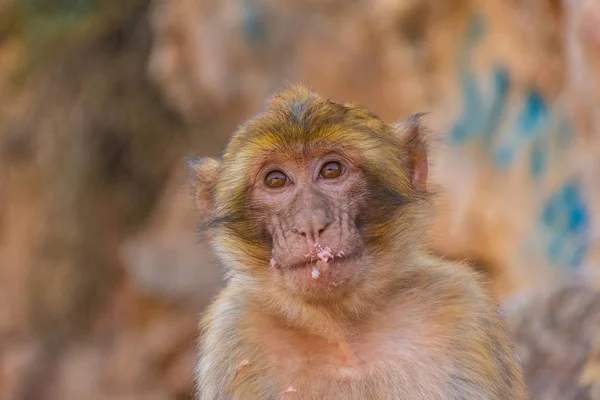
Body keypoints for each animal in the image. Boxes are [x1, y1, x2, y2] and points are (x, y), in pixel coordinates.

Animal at [190, 86, 528, 400]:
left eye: (331, 170)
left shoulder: (463, 310)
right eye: (276, 180)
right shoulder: (233, 331)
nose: (310, 224)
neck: (342, 331)